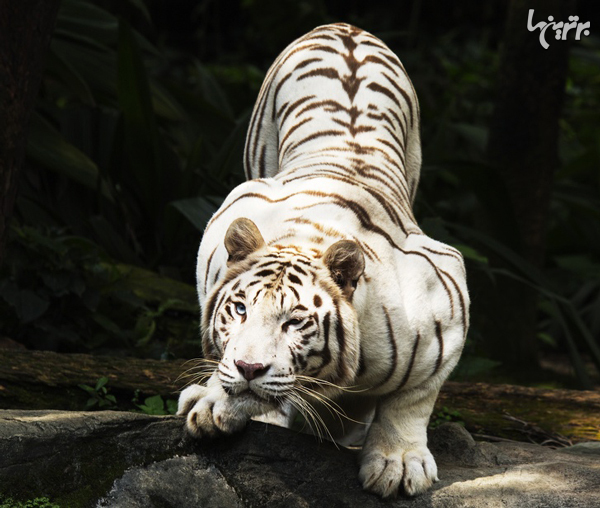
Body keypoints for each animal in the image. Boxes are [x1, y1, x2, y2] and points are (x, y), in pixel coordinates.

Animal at [178, 22, 468, 496]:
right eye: (239, 309)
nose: (250, 367)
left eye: (295, 322)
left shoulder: (446, 297)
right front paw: (215, 400)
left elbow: (412, 397)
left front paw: (398, 462)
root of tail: (345, 27)